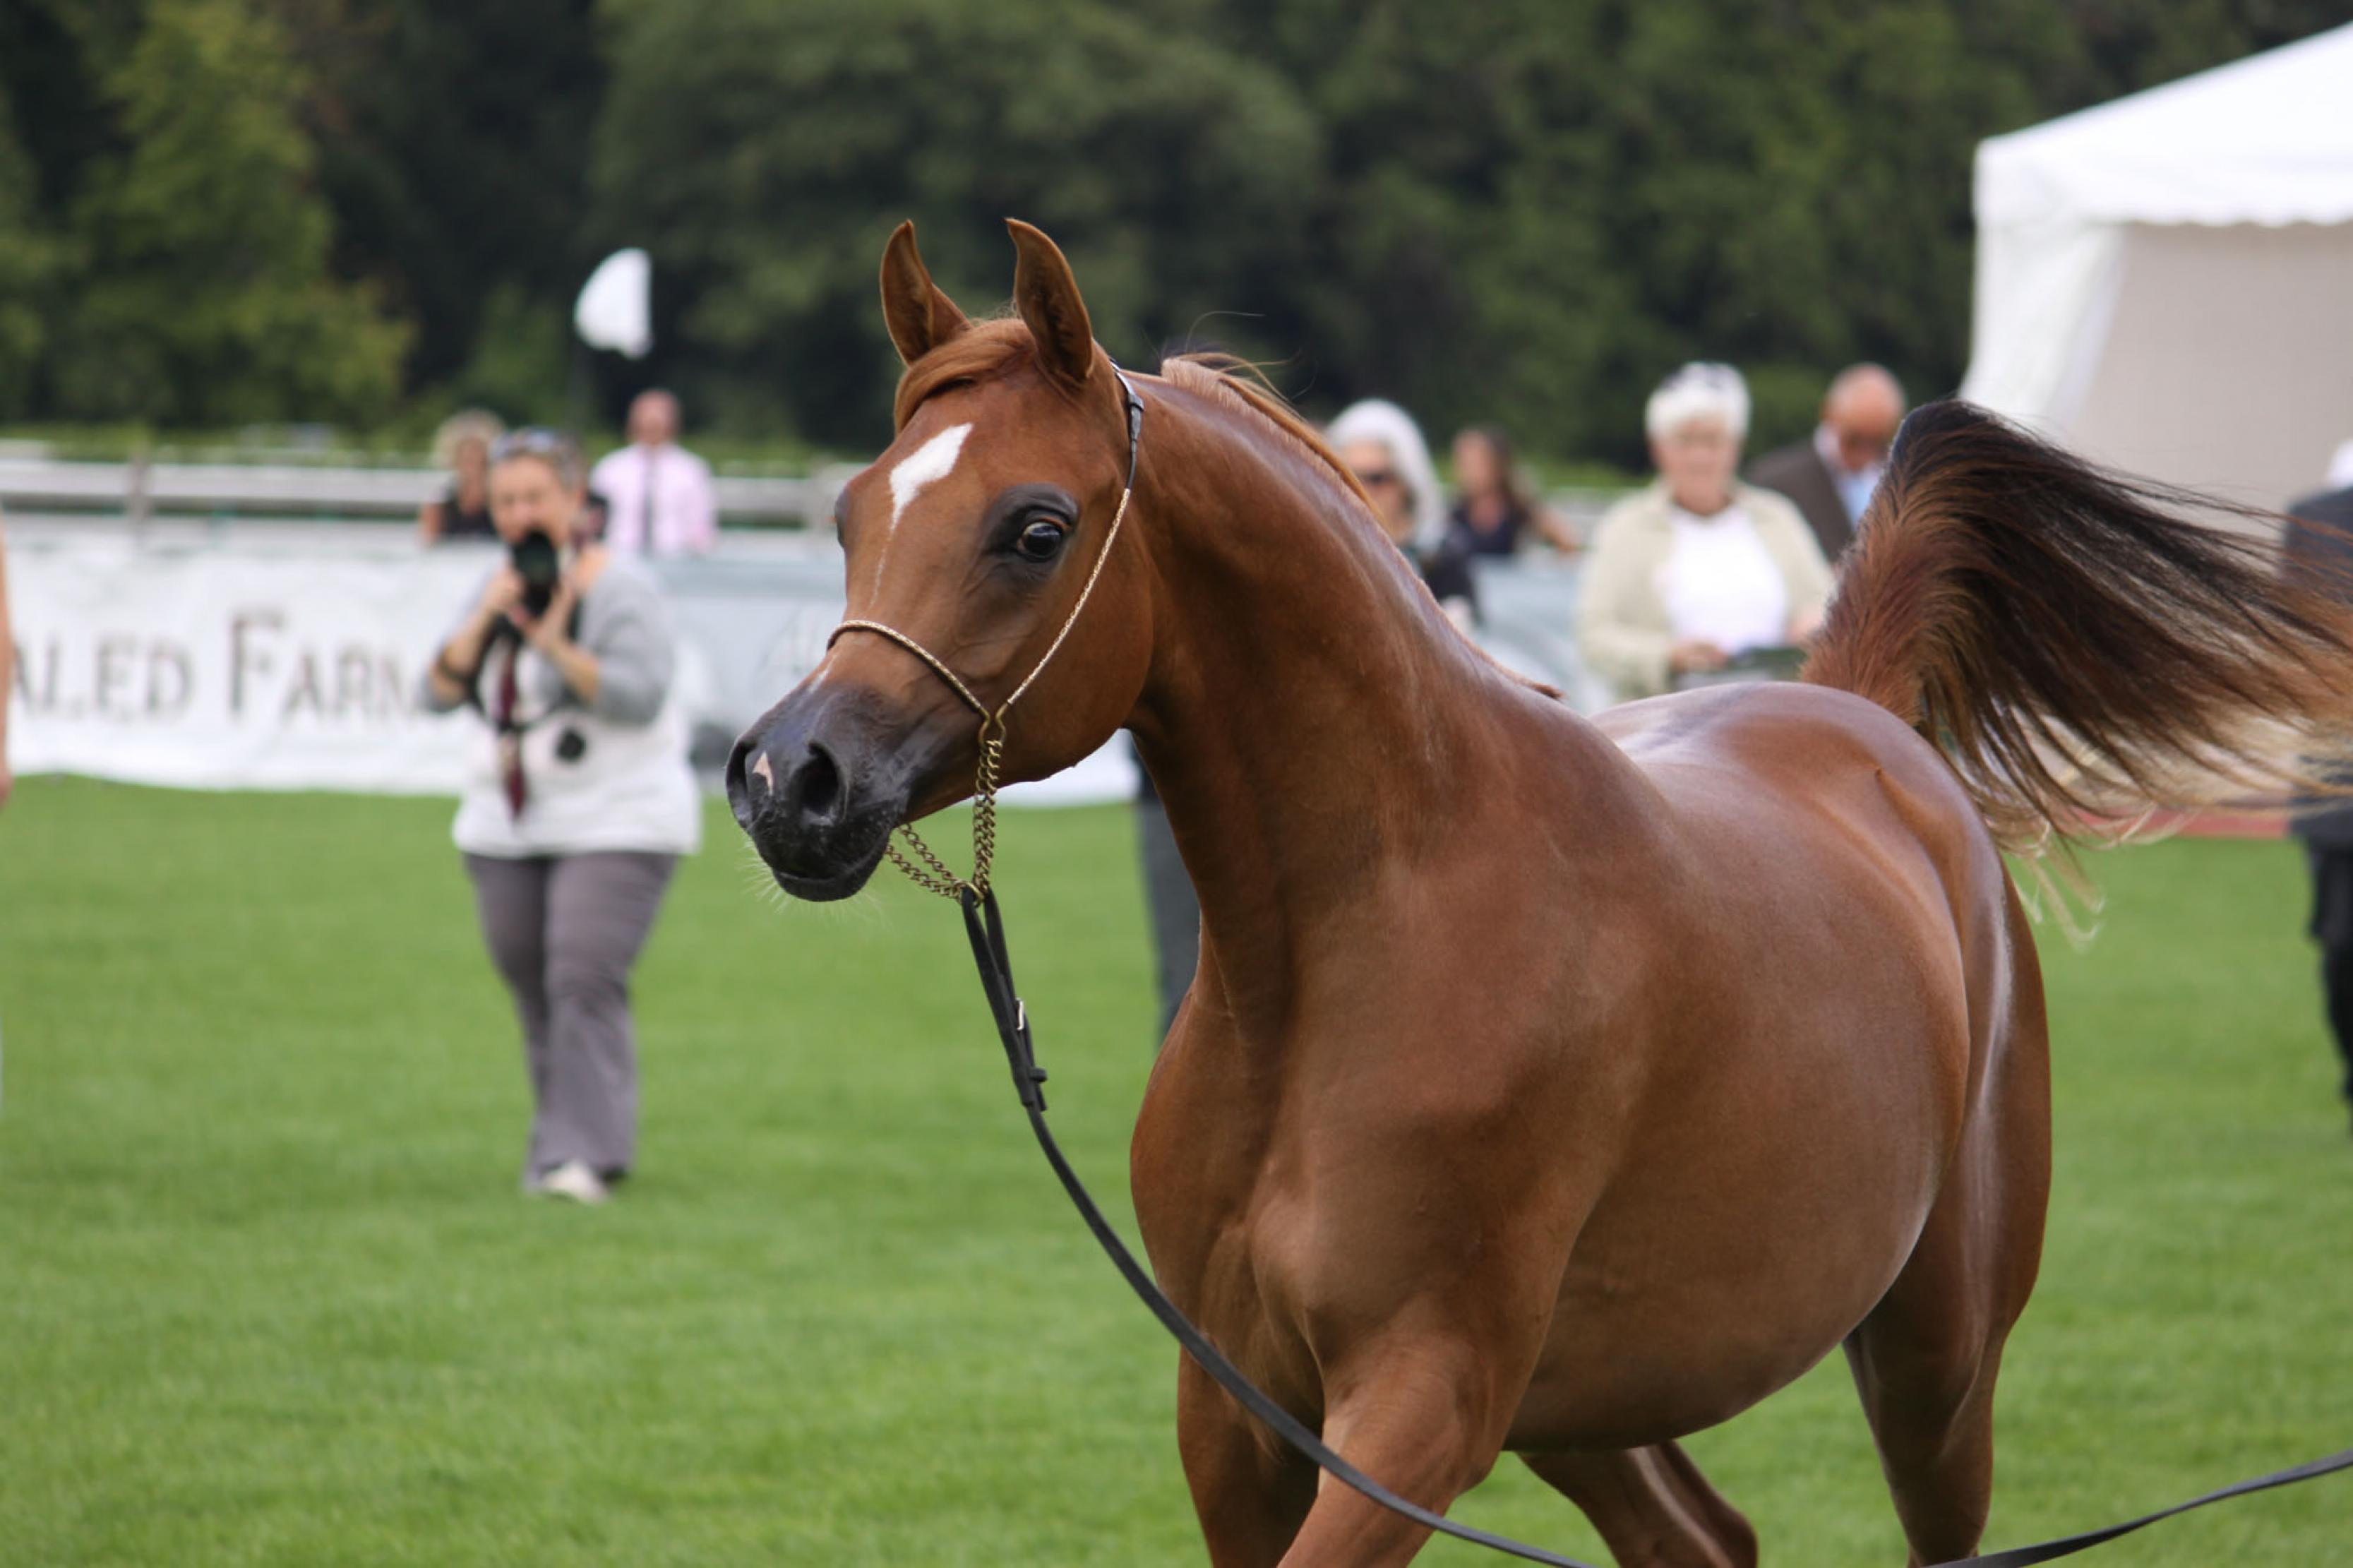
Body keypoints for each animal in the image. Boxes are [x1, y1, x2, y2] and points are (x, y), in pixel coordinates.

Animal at [734, 222, 2353, 1563]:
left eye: (1033, 527)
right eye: (851, 514)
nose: (787, 780)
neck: (1360, 953)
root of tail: (1859, 716)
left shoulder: (1418, 1404)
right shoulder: (1240, 1413)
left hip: (1930, 1362)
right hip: (1588, 1400)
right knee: (1704, 1541)